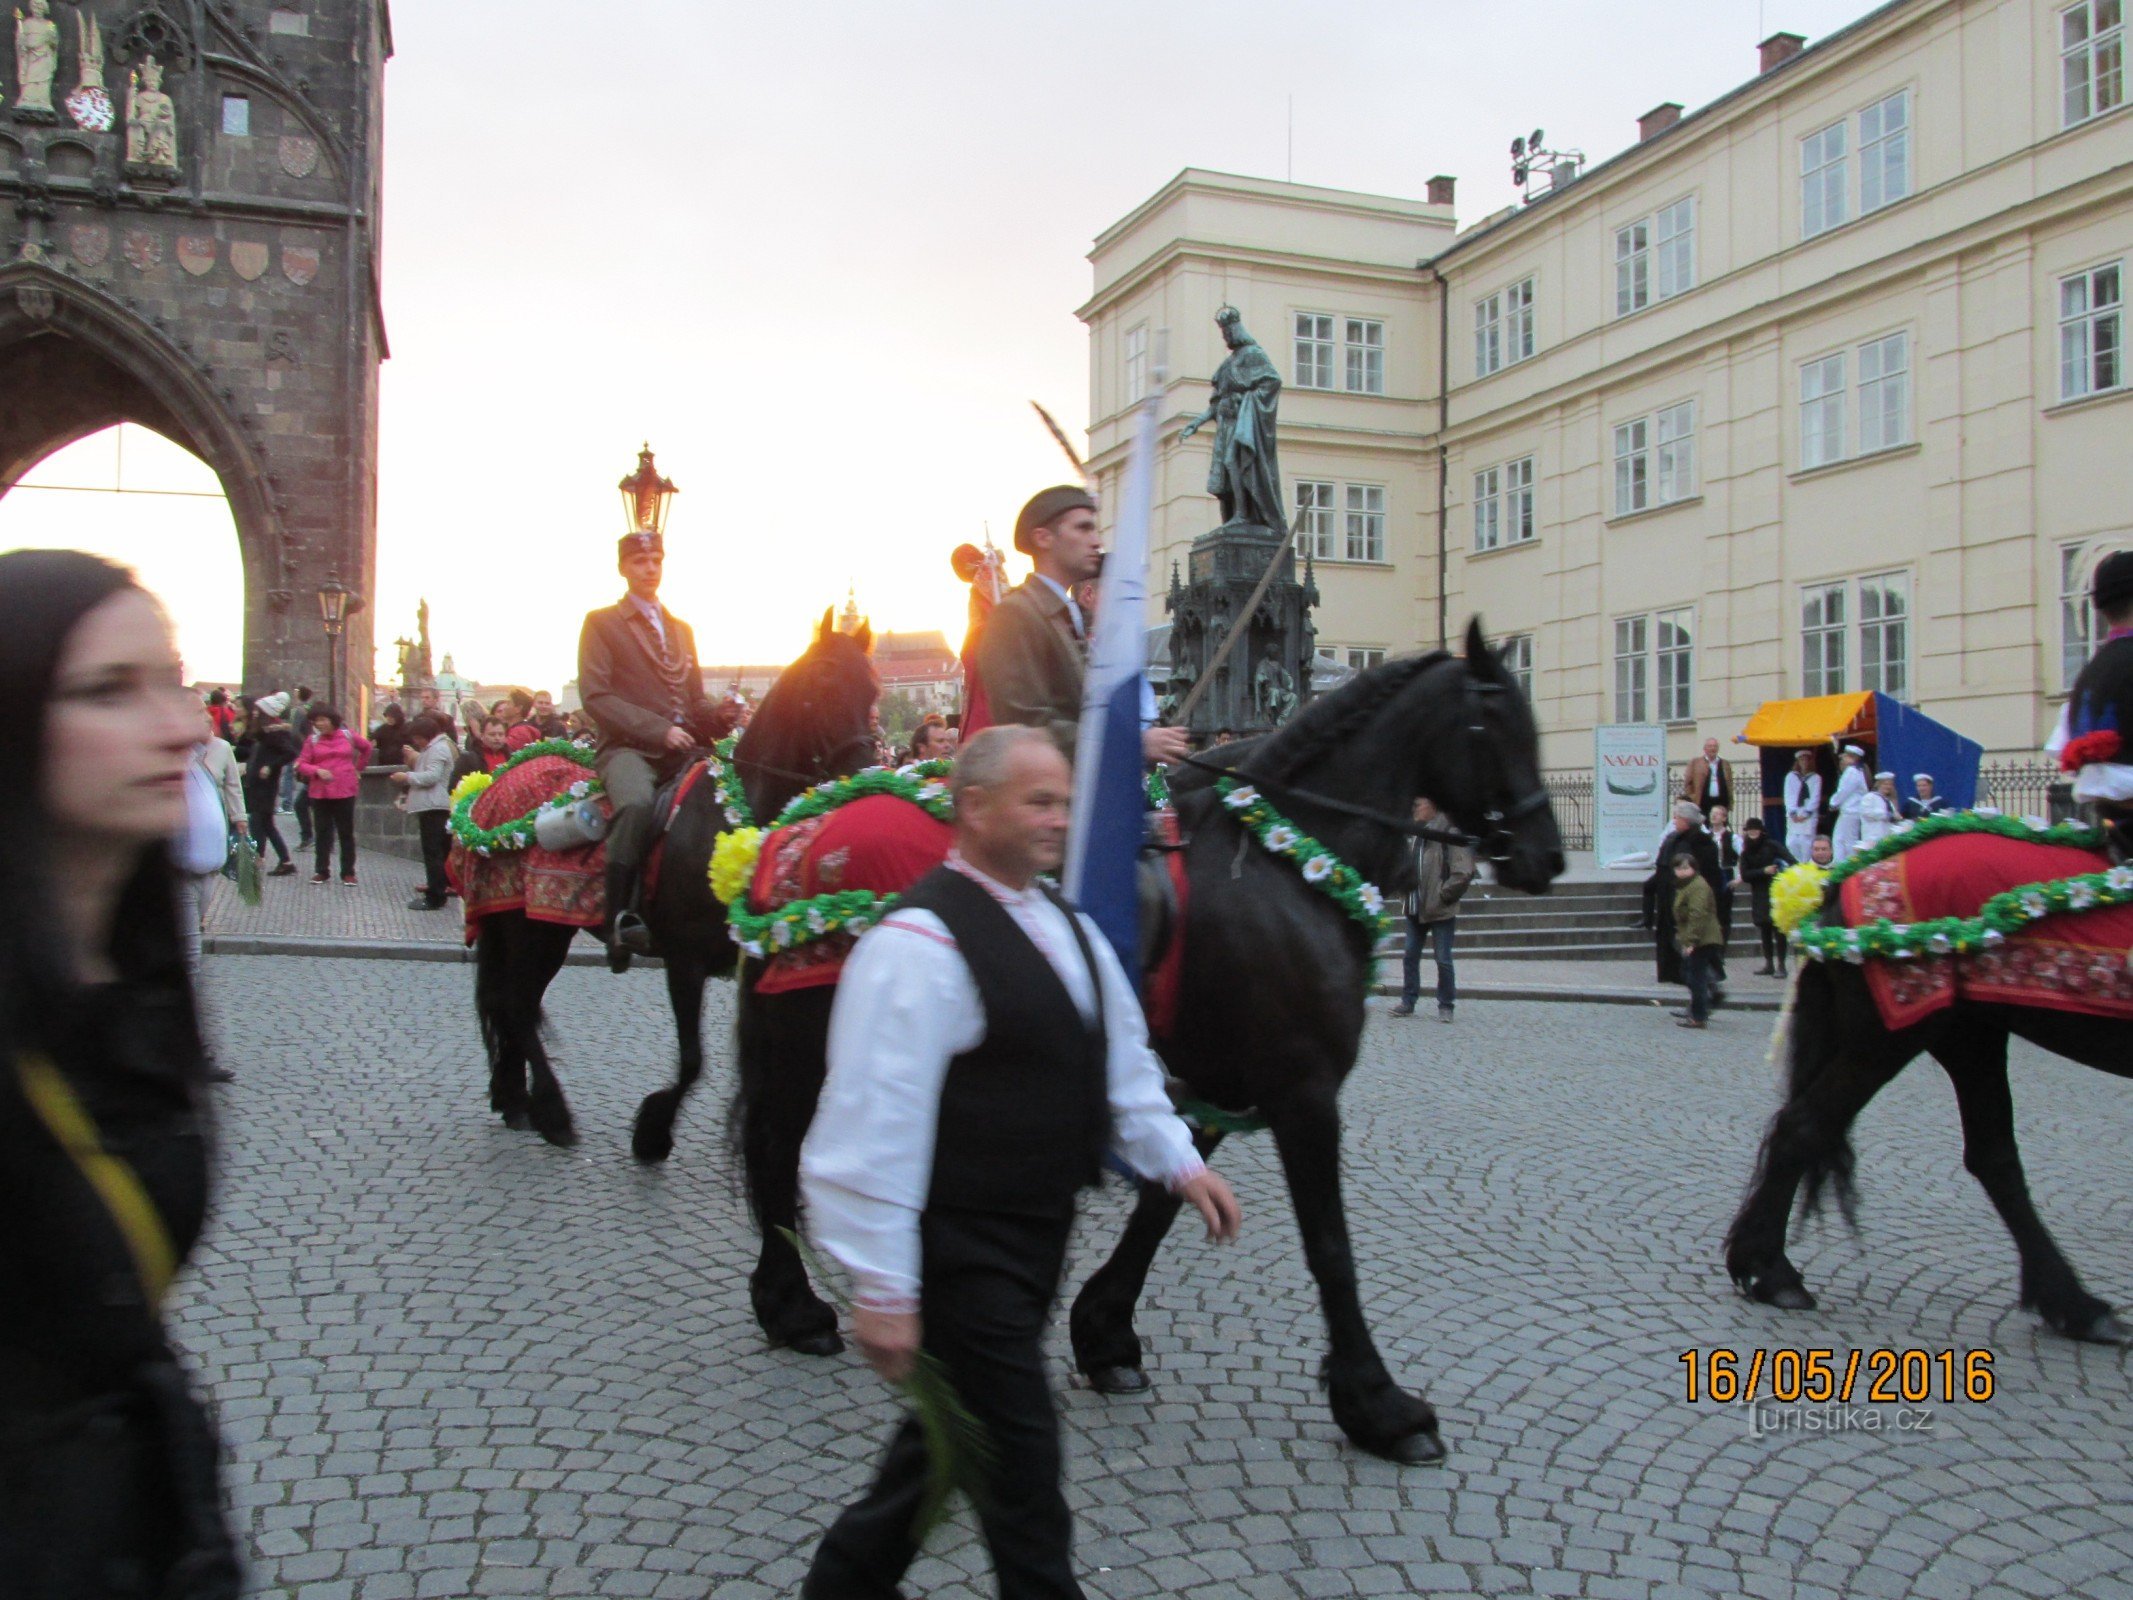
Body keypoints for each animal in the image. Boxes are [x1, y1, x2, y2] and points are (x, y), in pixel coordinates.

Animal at [477, 610, 883, 1152]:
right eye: (823, 680)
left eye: (873, 687)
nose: (866, 772)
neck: (729, 816)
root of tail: (496, 787)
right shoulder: (683, 961)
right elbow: (693, 1061)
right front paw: (652, 1131)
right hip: (532, 931)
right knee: (517, 1005)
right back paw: (552, 1112)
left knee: (508, 1003)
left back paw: (514, 1100)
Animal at [733, 618, 1569, 1467]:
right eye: (1495, 726)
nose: (1547, 855)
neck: (1284, 864)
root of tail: (792, 838)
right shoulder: (1302, 1089)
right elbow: (1329, 1246)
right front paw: (1378, 1404)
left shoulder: (1216, 1078)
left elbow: (1169, 1193)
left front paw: (1104, 1332)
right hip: (810, 1037)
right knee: (777, 1153)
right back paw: (795, 1309)